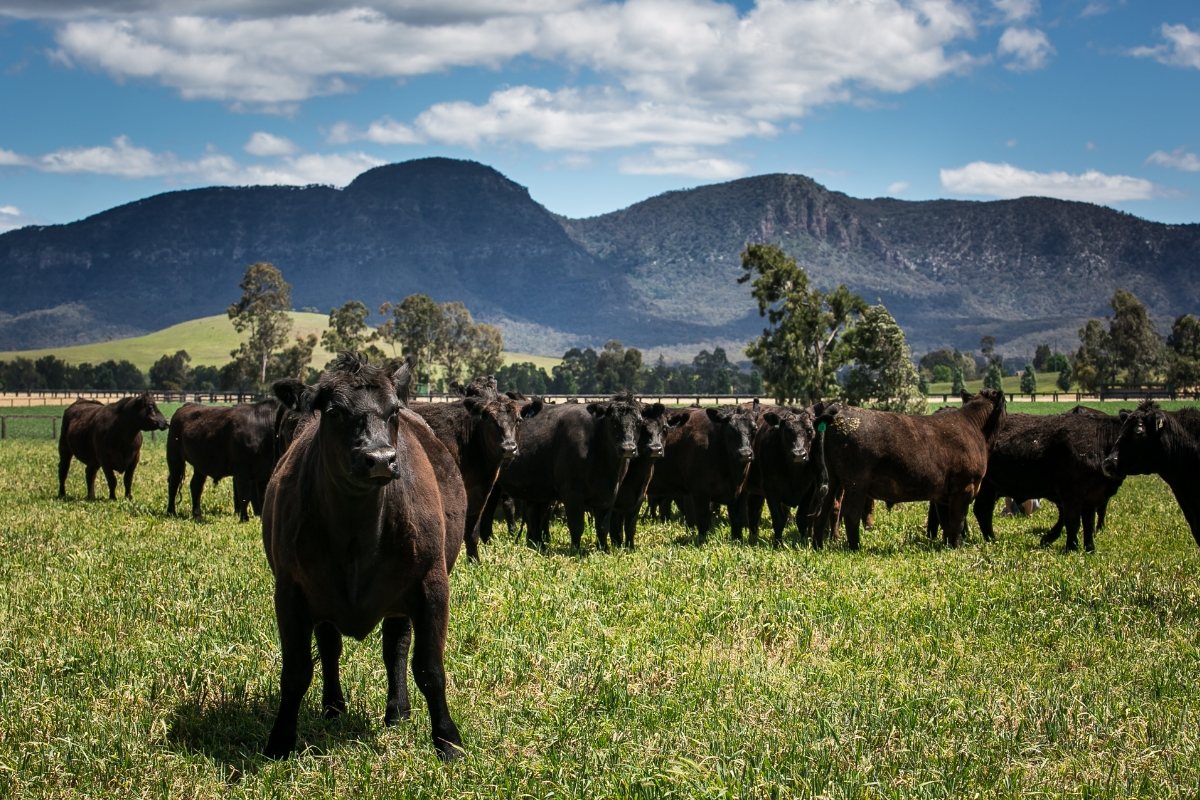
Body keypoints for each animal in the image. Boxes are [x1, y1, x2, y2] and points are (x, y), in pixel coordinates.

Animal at [261, 352, 466, 760]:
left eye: (393, 411)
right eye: (335, 412)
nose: (380, 459)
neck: (357, 535)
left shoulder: (432, 585)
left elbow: (430, 669)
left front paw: (447, 740)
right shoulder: (290, 591)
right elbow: (296, 672)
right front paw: (280, 741)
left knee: (395, 646)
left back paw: (397, 711)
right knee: (330, 646)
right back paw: (333, 707)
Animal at [410, 394, 541, 561]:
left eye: (518, 420)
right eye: (490, 421)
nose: (509, 448)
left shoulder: (480, 495)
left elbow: (472, 532)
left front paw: (474, 561)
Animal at [492, 394, 643, 550]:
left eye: (639, 422)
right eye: (613, 421)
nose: (628, 449)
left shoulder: (610, 493)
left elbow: (602, 527)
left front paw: (604, 549)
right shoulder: (571, 491)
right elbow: (577, 526)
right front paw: (575, 550)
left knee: (533, 515)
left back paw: (539, 545)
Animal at [647, 404, 759, 545]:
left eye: (754, 429)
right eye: (730, 429)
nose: (745, 454)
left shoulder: (740, 493)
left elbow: (737, 521)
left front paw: (737, 542)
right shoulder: (699, 491)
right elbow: (703, 521)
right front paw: (702, 543)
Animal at [820, 388, 1006, 549]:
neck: (975, 428)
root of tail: (840, 410)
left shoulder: (943, 497)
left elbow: (946, 522)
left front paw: (947, 545)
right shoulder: (964, 488)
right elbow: (957, 522)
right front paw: (957, 546)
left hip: (833, 479)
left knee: (823, 509)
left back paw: (818, 545)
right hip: (856, 483)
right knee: (850, 513)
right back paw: (855, 547)